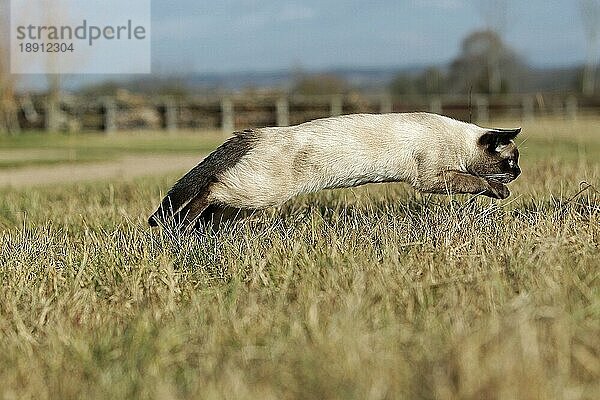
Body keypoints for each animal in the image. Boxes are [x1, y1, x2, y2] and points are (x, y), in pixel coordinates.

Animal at [150, 112, 520, 228]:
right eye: (510, 161)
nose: (517, 173)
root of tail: (259, 132)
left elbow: (474, 179)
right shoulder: (432, 178)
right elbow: (476, 180)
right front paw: (501, 191)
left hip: (249, 203)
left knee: (215, 207)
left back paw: (198, 232)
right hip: (262, 192)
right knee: (211, 186)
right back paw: (180, 226)